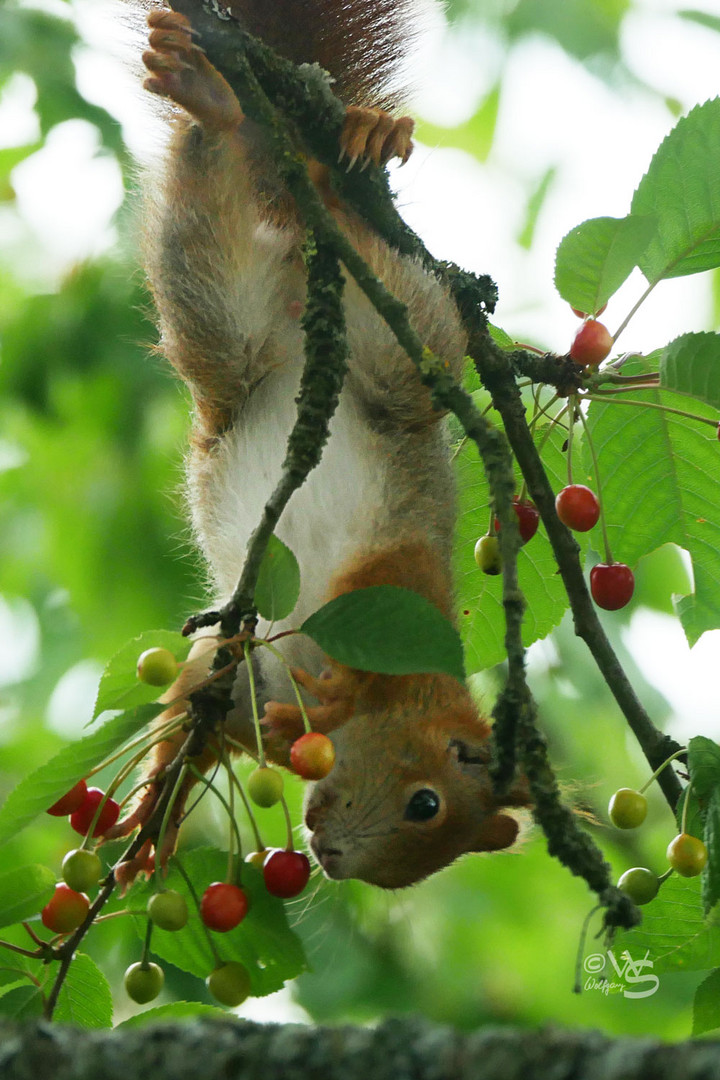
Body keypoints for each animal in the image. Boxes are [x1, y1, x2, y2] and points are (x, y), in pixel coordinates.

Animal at [111, 0, 528, 889]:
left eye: (417, 865)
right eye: (425, 804)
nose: (333, 861)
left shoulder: (233, 690)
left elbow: (188, 717)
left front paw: (154, 816)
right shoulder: (393, 588)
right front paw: (333, 702)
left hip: (220, 318)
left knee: (207, 234)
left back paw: (213, 105)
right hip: (401, 348)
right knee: (393, 288)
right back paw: (339, 159)